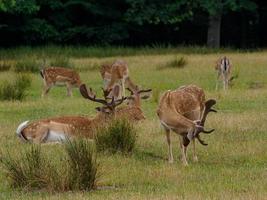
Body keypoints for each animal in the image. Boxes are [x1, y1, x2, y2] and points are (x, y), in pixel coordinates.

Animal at [15, 83, 152, 143]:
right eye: (107, 111)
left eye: (116, 110)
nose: (118, 125)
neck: (94, 126)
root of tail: (22, 132)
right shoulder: (79, 134)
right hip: (41, 130)